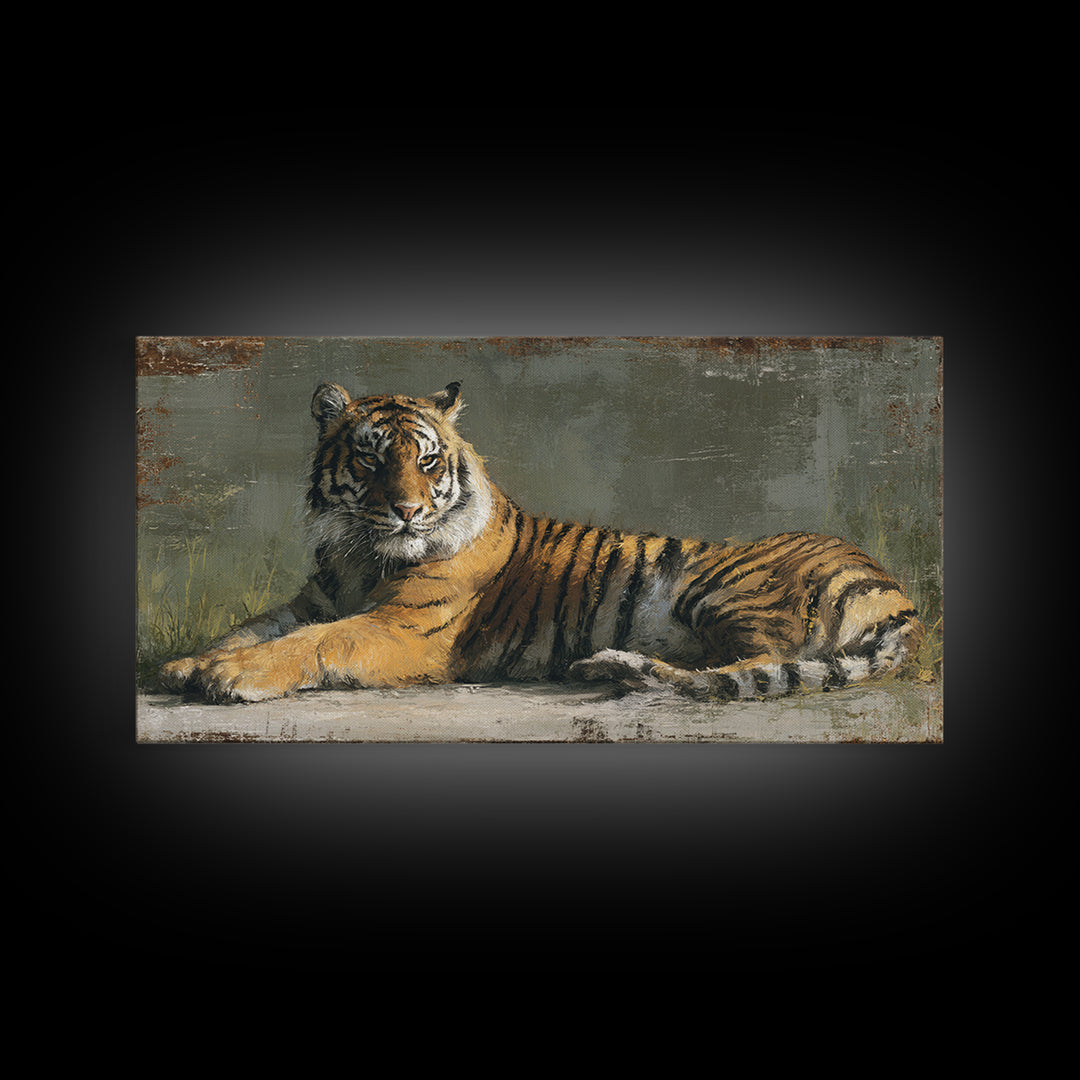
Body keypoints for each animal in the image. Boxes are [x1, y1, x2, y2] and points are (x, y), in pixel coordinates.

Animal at [159, 381, 925, 705]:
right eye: (371, 459)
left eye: (427, 461)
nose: (407, 512)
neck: (357, 554)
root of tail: (901, 596)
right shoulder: (310, 600)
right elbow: (253, 627)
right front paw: (187, 664)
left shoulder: (404, 628)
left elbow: (313, 643)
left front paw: (225, 677)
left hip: (720, 585)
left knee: (751, 665)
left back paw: (617, 668)